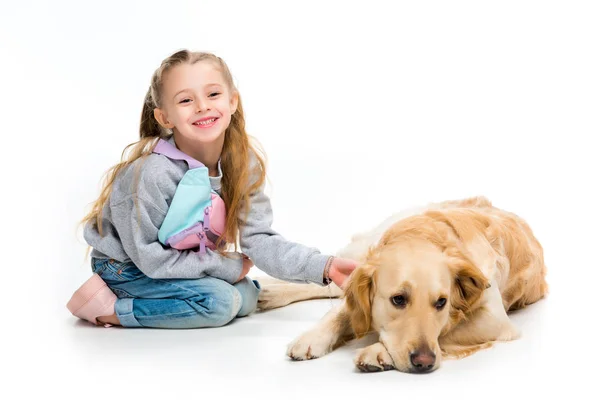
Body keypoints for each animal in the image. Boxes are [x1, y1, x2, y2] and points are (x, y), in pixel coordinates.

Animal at [256, 197, 548, 372]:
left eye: (441, 302)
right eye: (398, 299)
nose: (425, 362)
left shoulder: (495, 319)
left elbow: (447, 329)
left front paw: (378, 352)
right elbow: (340, 311)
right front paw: (312, 337)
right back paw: (270, 290)